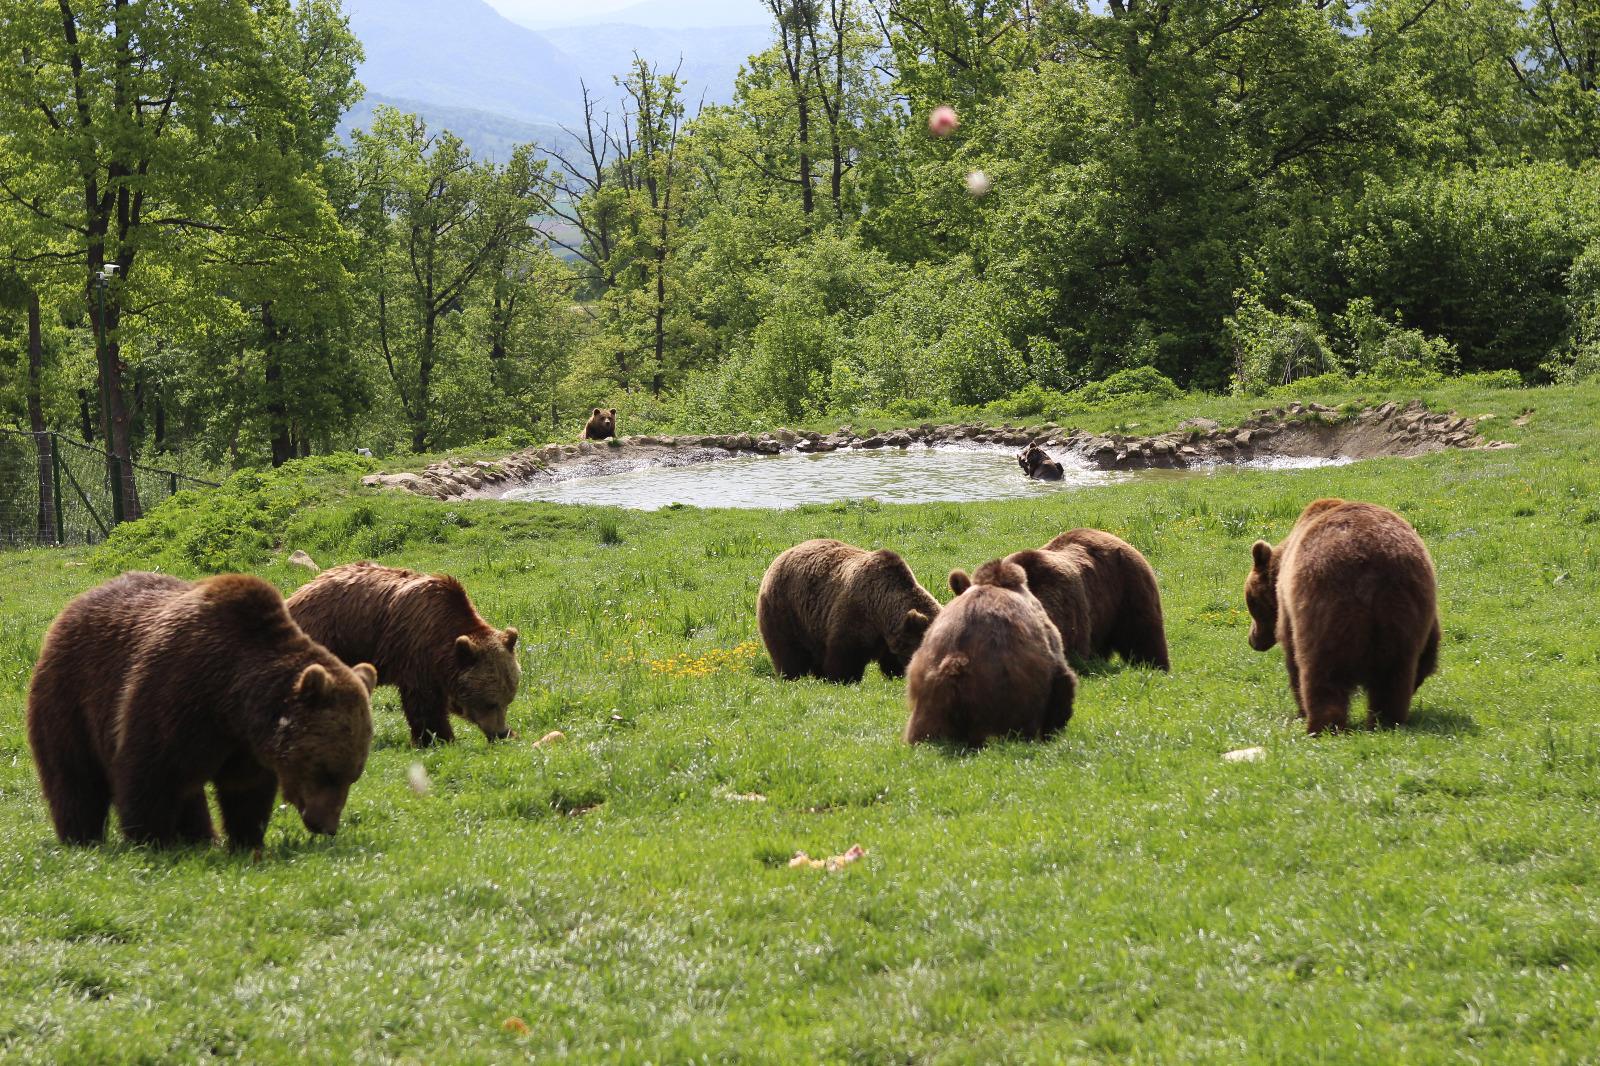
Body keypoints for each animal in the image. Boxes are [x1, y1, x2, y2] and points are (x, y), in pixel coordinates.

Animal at [26, 572, 377, 848]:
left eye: (353, 775)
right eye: (326, 771)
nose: (326, 826)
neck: (231, 702)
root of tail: (73, 605)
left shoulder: (244, 745)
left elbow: (246, 790)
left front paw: (246, 839)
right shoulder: (173, 694)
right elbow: (149, 772)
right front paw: (150, 839)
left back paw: (199, 836)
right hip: (70, 696)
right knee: (74, 774)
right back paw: (81, 836)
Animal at [287, 562, 521, 746]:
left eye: (508, 699)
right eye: (490, 702)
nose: (500, 733)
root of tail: (295, 596)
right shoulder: (416, 649)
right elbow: (424, 702)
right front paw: (437, 738)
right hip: (328, 638)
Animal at [757, 539, 940, 683]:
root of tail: (779, 557)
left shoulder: (891, 637)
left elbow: (893, 661)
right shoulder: (856, 614)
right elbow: (845, 655)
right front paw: (842, 679)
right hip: (786, 609)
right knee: (788, 651)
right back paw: (791, 676)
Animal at [1245, 498, 1440, 734]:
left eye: (1251, 602)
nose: (1253, 640)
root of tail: (1373, 572)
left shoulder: (1288, 607)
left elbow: (1291, 652)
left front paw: (1300, 710)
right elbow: (1429, 654)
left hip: (1327, 606)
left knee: (1322, 671)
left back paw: (1322, 725)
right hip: (1405, 607)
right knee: (1394, 675)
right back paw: (1386, 720)